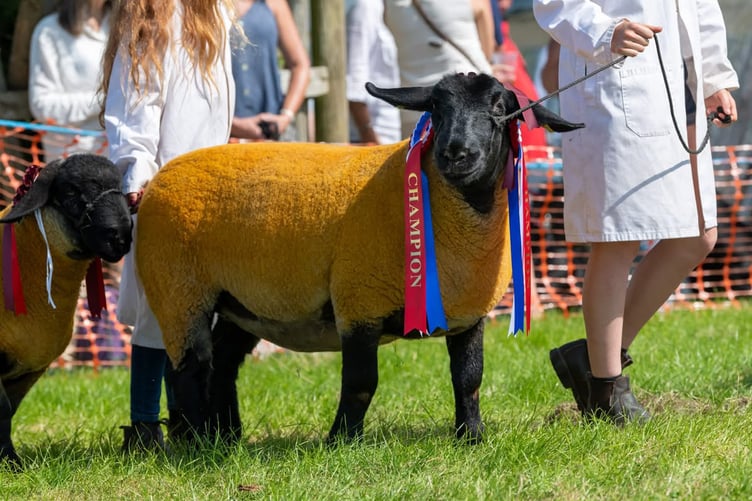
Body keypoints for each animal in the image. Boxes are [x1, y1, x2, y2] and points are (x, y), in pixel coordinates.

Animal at [0, 154, 132, 469]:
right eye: (71, 192)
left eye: (120, 187)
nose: (121, 237)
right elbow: (2, 410)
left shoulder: (30, 368)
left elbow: (8, 412)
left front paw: (10, 462)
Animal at [135, 72, 583, 445]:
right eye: (436, 109)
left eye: (499, 108)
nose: (455, 154)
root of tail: (160, 177)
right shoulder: (359, 302)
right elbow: (361, 382)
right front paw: (342, 441)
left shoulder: (468, 313)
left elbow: (469, 378)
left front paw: (470, 437)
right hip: (179, 289)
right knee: (189, 369)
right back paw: (198, 444)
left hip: (243, 301)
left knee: (222, 365)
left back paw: (225, 437)